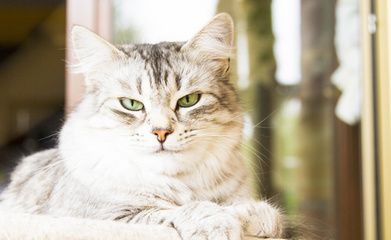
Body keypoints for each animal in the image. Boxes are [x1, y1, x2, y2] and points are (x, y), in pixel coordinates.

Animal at [0, 13, 284, 240]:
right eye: (131, 104)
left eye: (189, 100)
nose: (161, 132)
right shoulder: (110, 216)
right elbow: (177, 210)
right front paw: (217, 222)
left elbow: (258, 212)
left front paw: (252, 216)